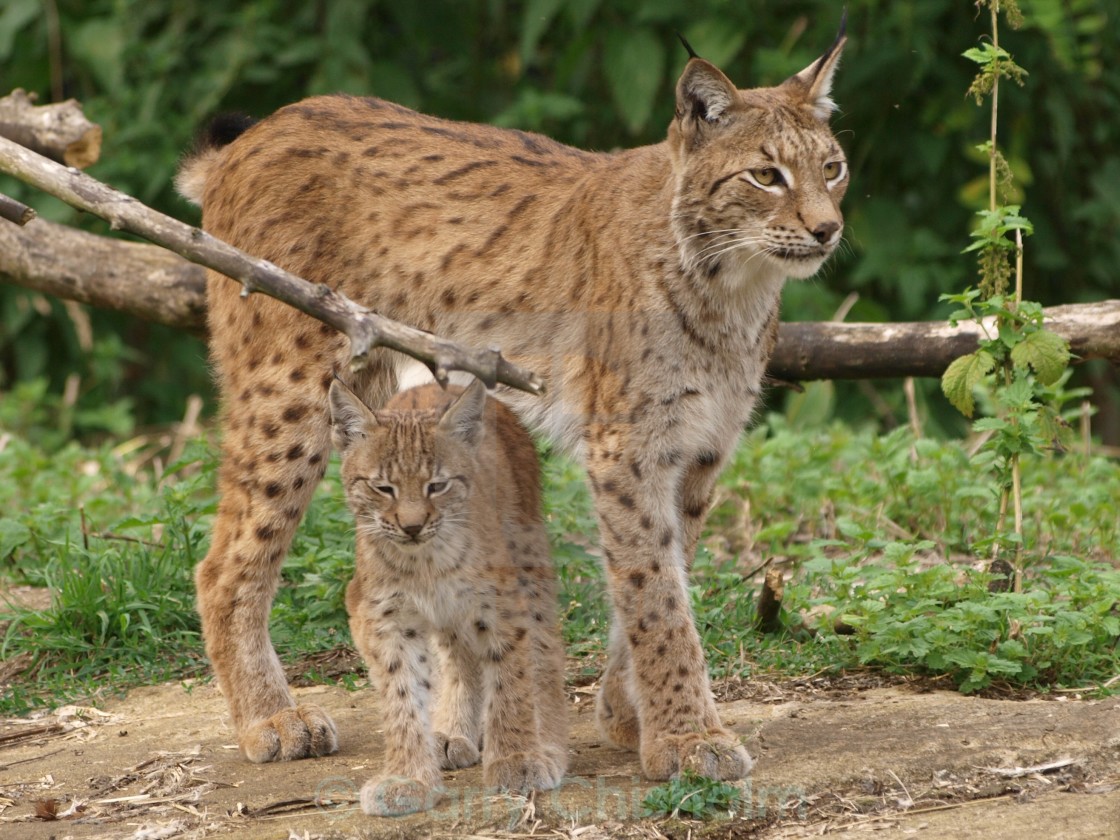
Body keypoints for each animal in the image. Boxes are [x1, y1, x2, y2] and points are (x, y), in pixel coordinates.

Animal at [327, 380, 564, 815]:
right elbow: (402, 695)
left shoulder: (502, 605)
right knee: (458, 658)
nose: (412, 526)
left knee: (545, 652)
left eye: (437, 486)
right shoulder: (382, 616)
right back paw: (452, 732)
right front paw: (407, 777)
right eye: (382, 488)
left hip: (530, 561)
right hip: (449, 615)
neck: (424, 562)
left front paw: (517, 759)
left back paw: (549, 744)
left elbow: (512, 681)